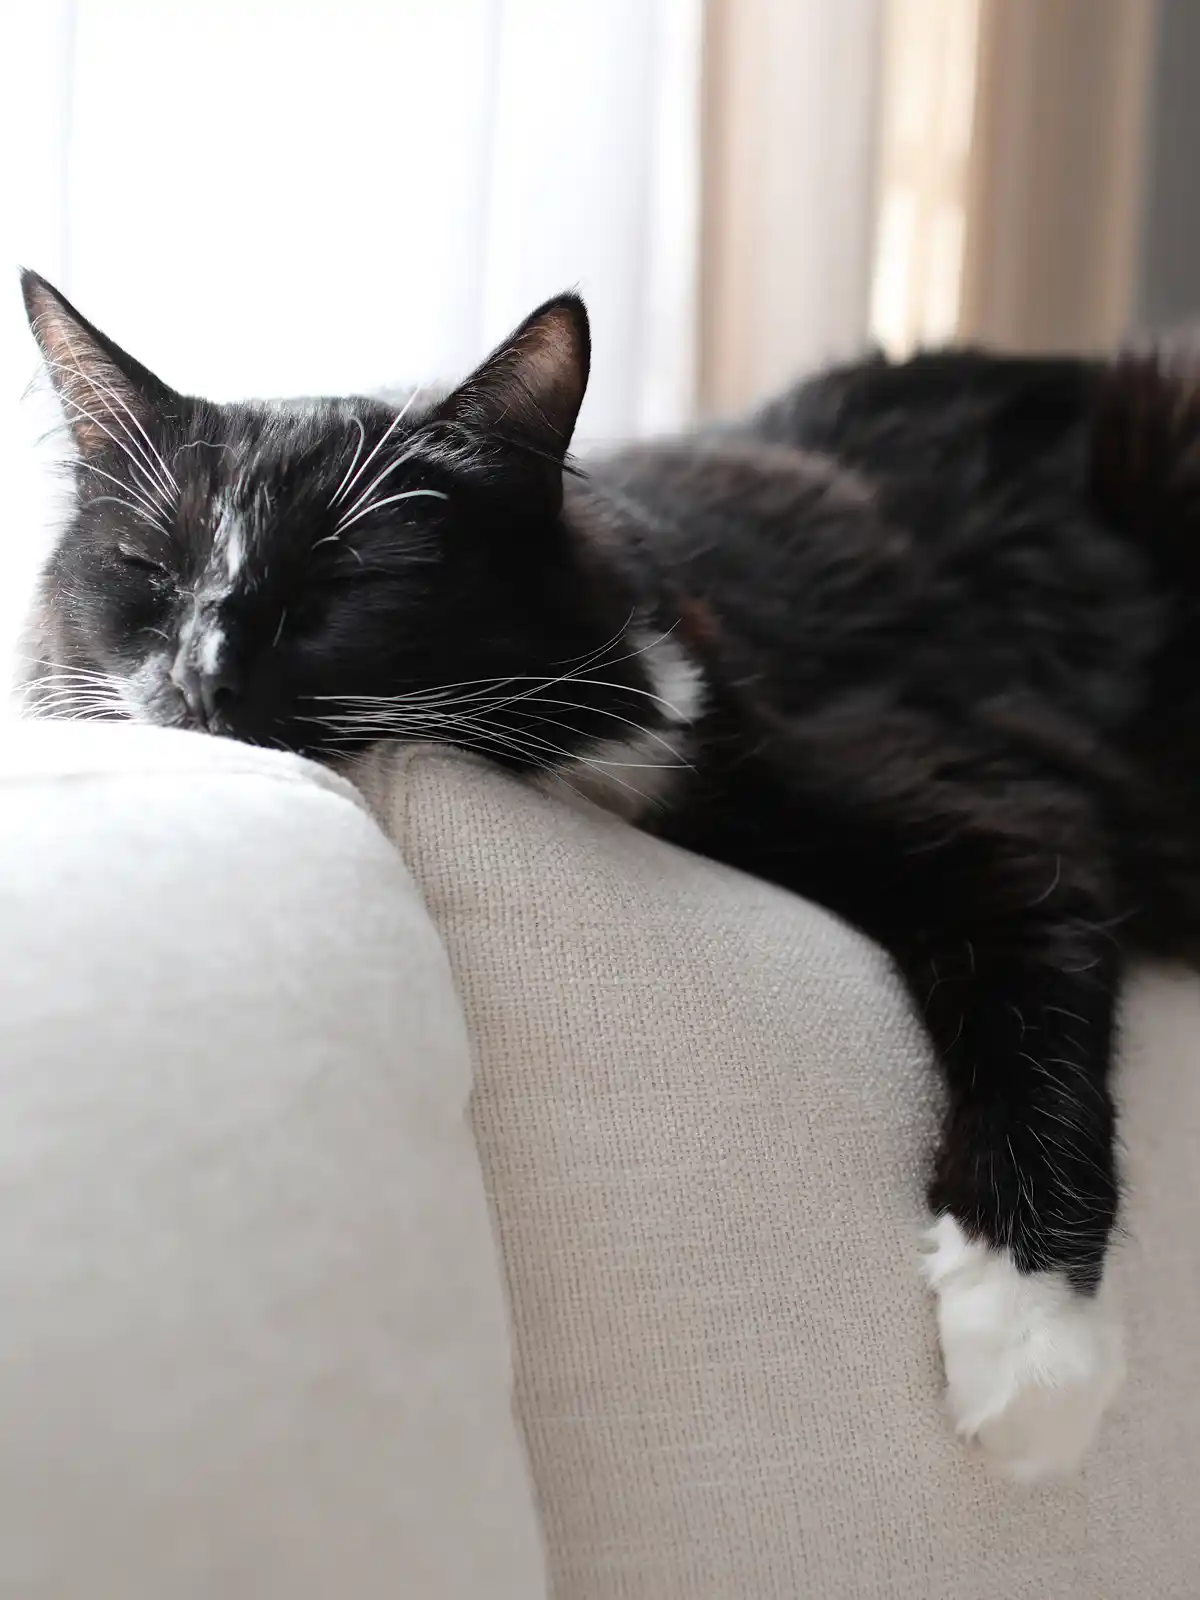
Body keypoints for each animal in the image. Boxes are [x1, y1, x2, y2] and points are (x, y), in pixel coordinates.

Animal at [18, 268, 1200, 1478]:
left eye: (342, 581)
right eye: (148, 574)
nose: (201, 674)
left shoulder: (1003, 803)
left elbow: (1034, 987)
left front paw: (1032, 1351)